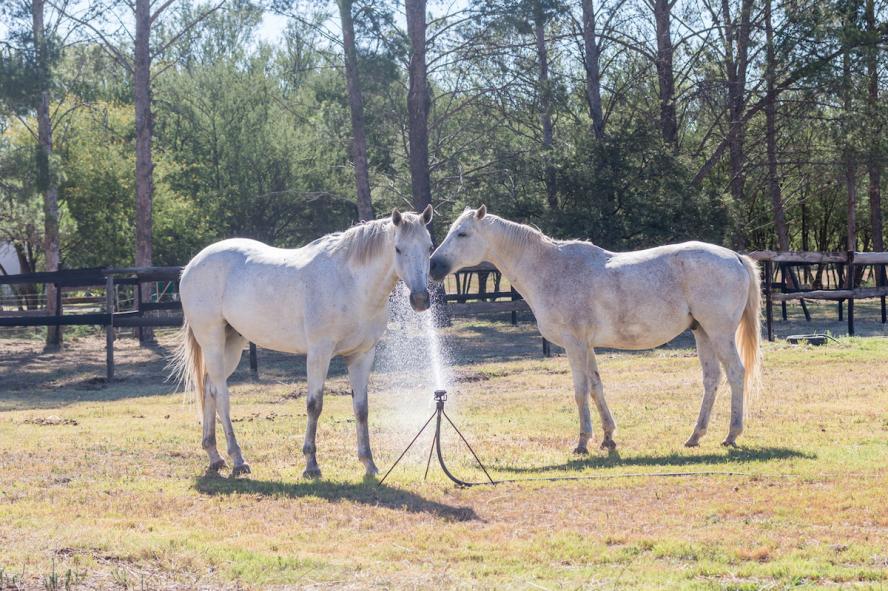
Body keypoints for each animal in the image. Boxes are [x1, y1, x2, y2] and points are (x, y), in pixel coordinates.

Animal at [172, 206, 436, 478]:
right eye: (398, 248)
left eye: (429, 247)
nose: (419, 299)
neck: (351, 283)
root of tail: (191, 266)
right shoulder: (319, 353)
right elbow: (314, 405)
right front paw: (311, 464)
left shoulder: (362, 355)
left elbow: (361, 409)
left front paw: (369, 464)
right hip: (212, 340)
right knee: (222, 395)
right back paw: (238, 460)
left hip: (232, 342)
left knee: (210, 388)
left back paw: (215, 456)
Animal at [430, 208, 764, 454]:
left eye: (462, 233)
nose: (433, 265)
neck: (550, 269)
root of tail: (735, 257)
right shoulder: (587, 346)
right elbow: (596, 387)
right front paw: (607, 438)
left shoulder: (574, 344)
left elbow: (580, 391)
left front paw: (582, 442)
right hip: (702, 332)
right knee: (712, 379)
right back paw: (695, 436)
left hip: (719, 333)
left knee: (736, 373)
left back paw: (732, 434)